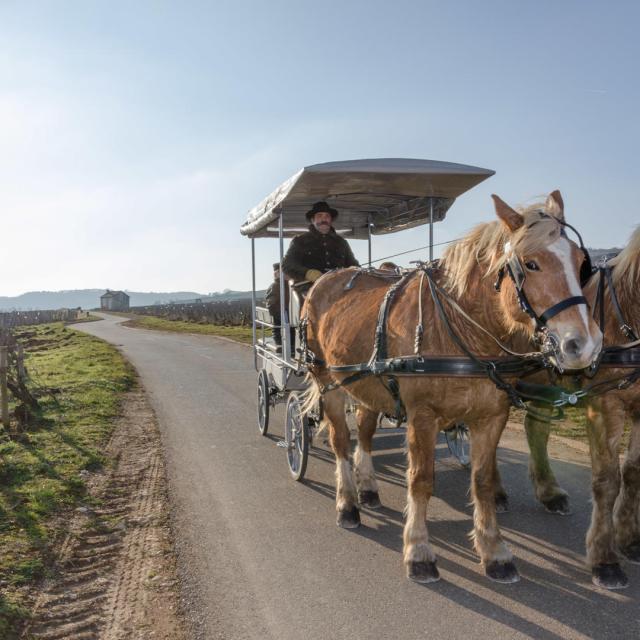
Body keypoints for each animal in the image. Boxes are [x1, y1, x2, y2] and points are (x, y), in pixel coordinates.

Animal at [302, 190, 604, 584]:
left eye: (581, 262)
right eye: (531, 263)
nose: (584, 345)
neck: (465, 332)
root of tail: (323, 281)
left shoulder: (492, 415)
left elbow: (483, 481)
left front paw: (494, 550)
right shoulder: (422, 416)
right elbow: (420, 480)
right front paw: (418, 550)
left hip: (368, 383)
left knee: (364, 433)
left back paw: (367, 488)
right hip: (329, 380)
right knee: (340, 441)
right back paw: (348, 504)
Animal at [524, 225, 640, 592]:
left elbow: (633, 473)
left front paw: (628, 539)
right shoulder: (605, 403)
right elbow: (607, 479)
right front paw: (605, 559)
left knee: (536, 428)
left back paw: (548, 491)